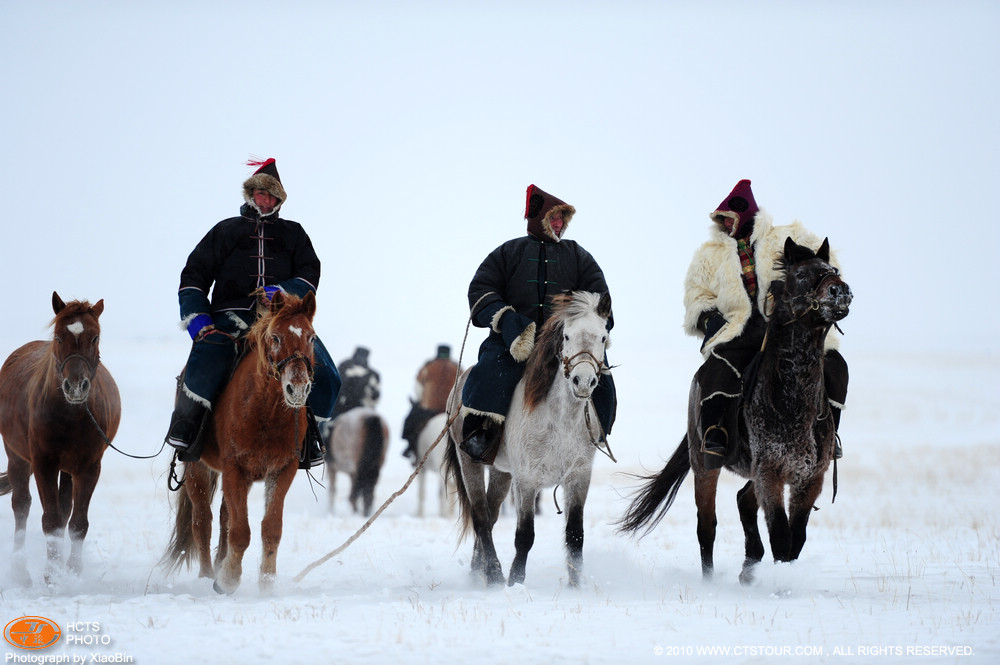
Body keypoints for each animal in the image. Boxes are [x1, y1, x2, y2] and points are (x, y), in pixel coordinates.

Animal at [0, 292, 120, 580]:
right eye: (58, 337)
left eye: (95, 337)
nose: (75, 386)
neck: (72, 416)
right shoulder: (44, 465)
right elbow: (51, 521)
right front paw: (52, 577)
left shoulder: (88, 468)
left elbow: (77, 523)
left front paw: (72, 573)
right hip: (16, 457)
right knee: (21, 505)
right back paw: (20, 571)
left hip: (67, 469)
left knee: (65, 509)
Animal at [162, 290, 316, 592]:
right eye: (276, 337)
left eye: (311, 337)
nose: (298, 388)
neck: (264, 412)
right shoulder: (235, 468)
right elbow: (240, 530)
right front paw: (228, 580)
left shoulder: (282, 470)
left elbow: (270, 528)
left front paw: (267, 582)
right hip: (198, 468)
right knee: (203, 520)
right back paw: (207, 575)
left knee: (224, 518)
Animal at [444, 290, 608, 588]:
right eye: (567, 336)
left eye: (603, 336)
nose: (583, 381)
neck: (560, 419)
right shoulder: (527, 481)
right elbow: (524, 536)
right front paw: (515, 582)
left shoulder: (578, 478)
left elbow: (575, 535)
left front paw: (575, 586)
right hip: (470, 463)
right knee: (481, 517)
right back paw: (494, 575)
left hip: (501, 472)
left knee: (491, 514)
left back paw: (478, 572)